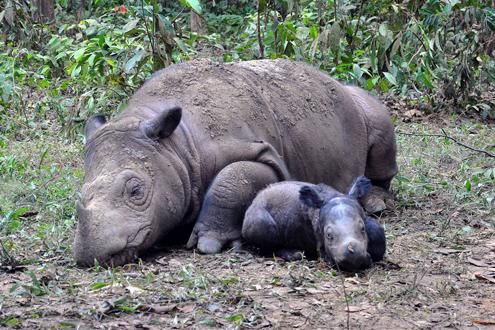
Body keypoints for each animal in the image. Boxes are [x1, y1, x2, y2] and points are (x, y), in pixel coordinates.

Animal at [242, 177, 386, 272]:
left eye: (362, 229)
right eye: (328, 235)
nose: (354, 258)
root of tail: (254, 199)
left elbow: (377, 231)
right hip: (255, 214)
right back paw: (294, 254)